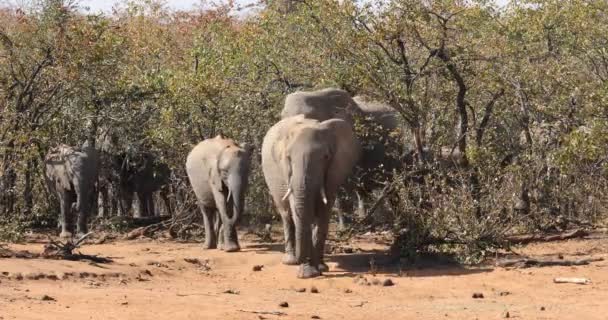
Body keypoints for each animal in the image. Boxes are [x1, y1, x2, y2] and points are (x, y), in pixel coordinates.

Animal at [262, 115, 360, 278]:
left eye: (326, 157)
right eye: (288, 157)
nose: (300, 259)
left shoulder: (333, 173)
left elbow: (324, 213)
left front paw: (321, 268)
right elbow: (299, 213)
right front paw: (308, 274)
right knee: (286, 215)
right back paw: (290, 261)